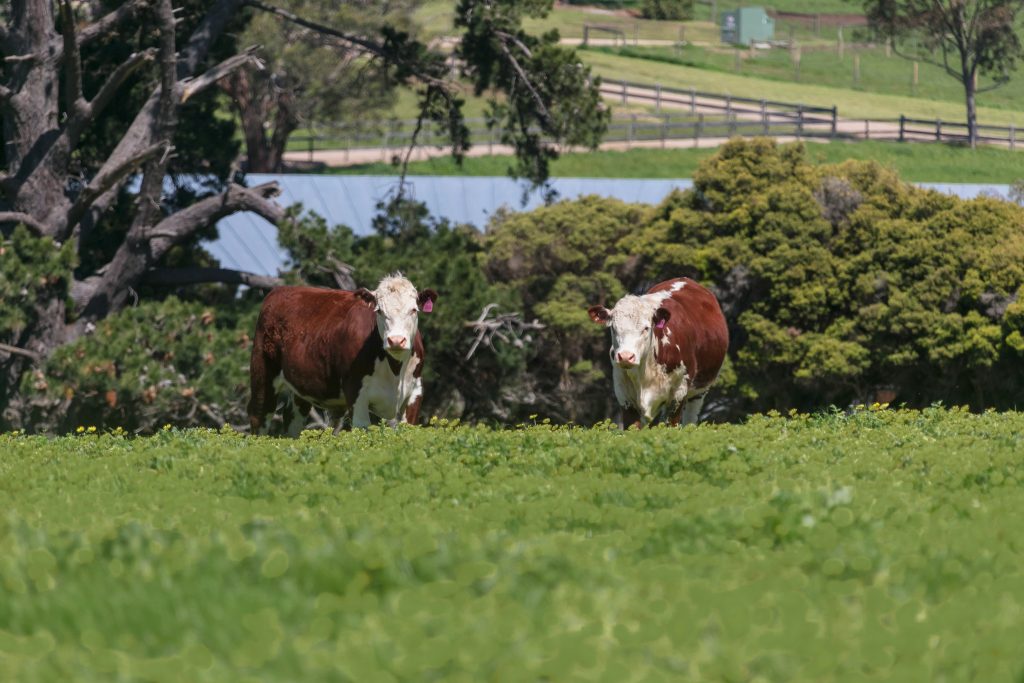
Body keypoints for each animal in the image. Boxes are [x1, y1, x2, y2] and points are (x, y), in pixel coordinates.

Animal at [251, 272, 440, 432]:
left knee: (292, 419)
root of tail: (281, 290)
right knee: (259, 416)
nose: (396, 340)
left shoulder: (415, 392)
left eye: (414, 310)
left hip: (300, 385)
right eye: (379, 310)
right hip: (262, 373)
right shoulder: (356, 393)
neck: (395, 370)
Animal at [585, 278, 729, 428]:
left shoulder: (679, 393)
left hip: (699, 391)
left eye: (646, 328)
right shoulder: (624, 394)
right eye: (613, 328)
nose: (625, 356)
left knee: (690, 418)